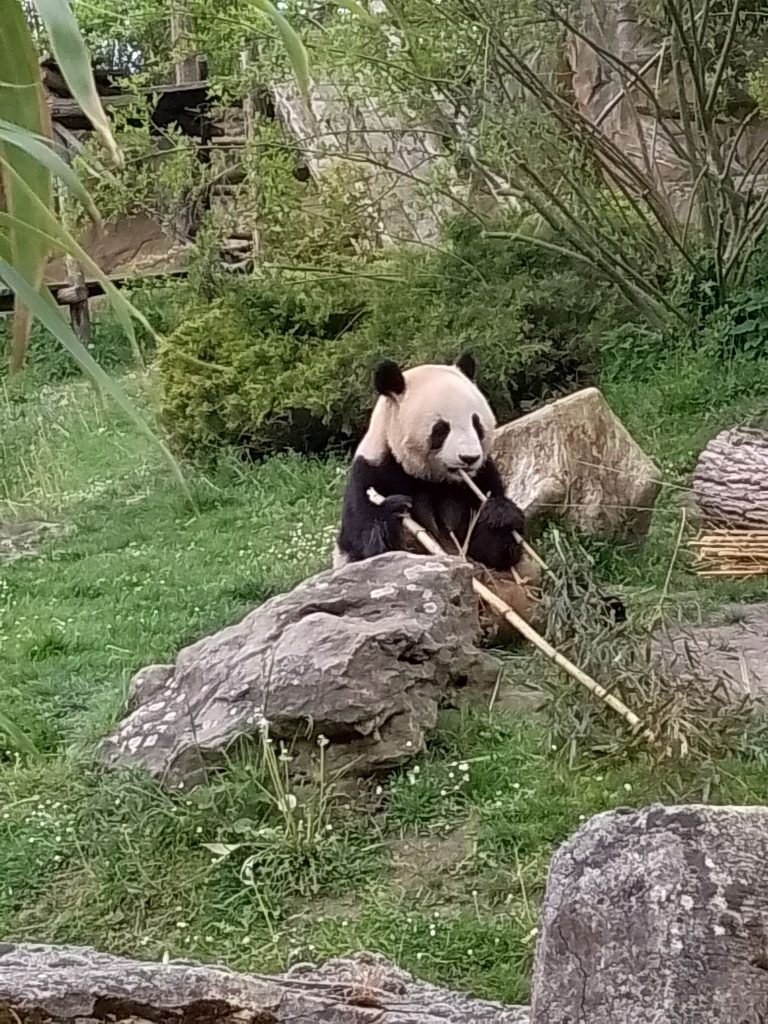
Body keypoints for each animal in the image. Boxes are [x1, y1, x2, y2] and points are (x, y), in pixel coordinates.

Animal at [333, 352, 534, 608]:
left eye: (476, 423)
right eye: (441, 429)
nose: (469, 458)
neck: (431, 478)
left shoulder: (479, 477)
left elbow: (492, 552)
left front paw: (500, 515)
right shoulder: (371, 473)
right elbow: (370, 550)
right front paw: (394, 509)